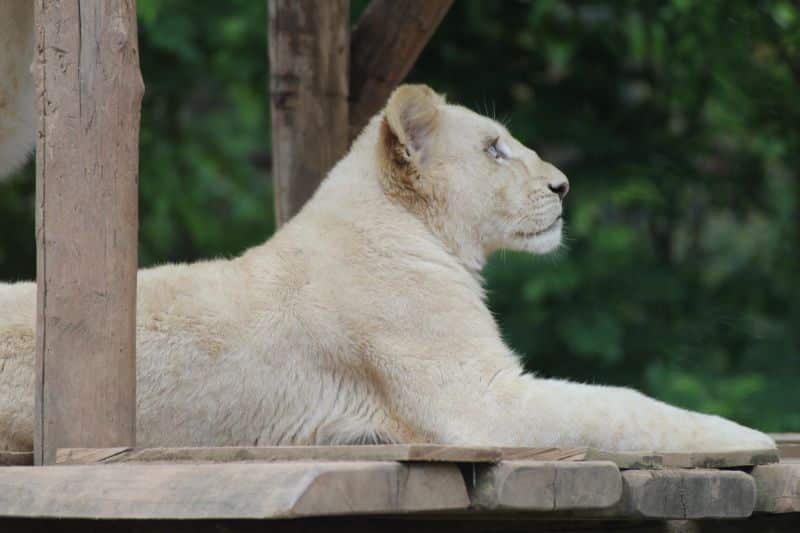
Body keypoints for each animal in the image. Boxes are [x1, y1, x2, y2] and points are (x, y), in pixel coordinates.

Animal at [0, 1, 776, 454]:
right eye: (495, 148)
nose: (562, 185)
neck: (414, 230)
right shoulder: (477, 402)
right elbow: (620, 408)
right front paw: (745, 437)